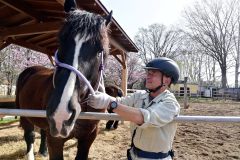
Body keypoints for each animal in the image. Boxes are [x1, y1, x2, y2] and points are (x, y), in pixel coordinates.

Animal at [15, 0, 112, 159]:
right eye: (61, 41)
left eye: (100, 51)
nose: (61, 113)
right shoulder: (55, 140)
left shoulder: (89, 137)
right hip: (24, 115)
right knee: (30, 136)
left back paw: (43, 151)